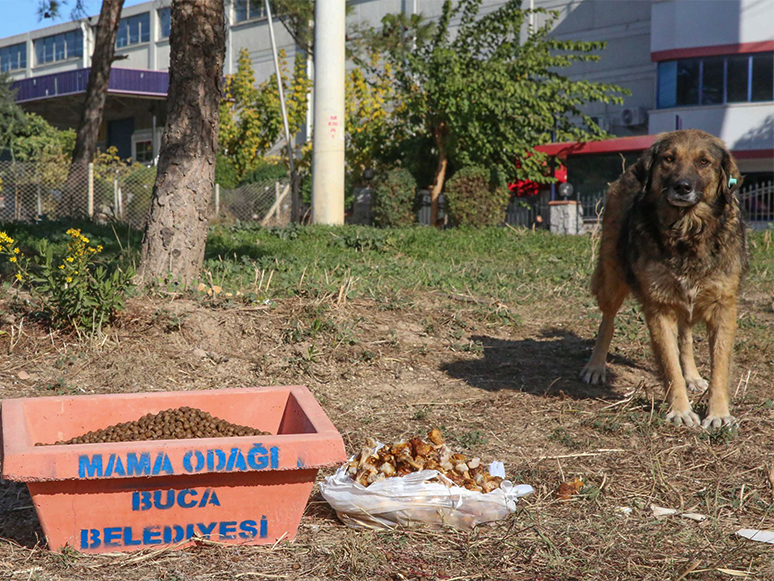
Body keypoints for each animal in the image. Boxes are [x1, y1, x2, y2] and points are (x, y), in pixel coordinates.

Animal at [584, 129, 748, 426]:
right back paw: (595, 365)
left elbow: (719, 366)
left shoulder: (723, 307)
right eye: (669, 159)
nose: (682, 187)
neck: (687, 232)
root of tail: (628, 171)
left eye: (704, 162)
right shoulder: (660, 306)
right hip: (612, 277)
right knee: (607, 320)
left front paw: (718, 413)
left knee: (685, 336)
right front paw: (680, 410)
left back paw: (692, 375)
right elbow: (670, 365)